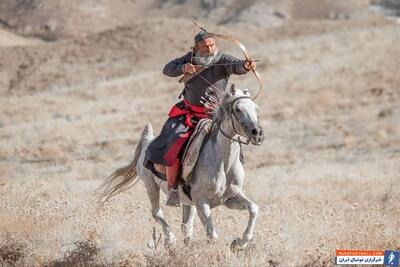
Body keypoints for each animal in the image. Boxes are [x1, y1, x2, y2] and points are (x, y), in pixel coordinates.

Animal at [97, 85, 264, 250]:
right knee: (157, 213)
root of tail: (147, 142)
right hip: (151, 186)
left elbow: (253, 209)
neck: (223, 164)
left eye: (256, 108)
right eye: (238, 109)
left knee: (186, 226)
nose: (258, 133)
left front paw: (239, 242)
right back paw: (170, 241)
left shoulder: (230, 198)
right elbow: (212, 234)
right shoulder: (201, 202)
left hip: (186, 202)